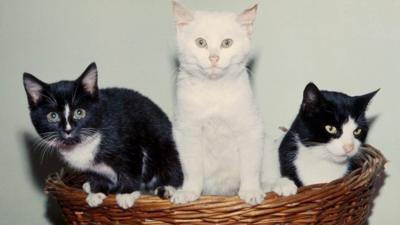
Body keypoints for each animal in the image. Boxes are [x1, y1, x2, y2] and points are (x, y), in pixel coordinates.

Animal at [23, 62, 183, 208]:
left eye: (80, 112)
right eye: (53, 116)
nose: (68, 130)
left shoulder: (129, 141)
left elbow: (131, 168)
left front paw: (126, 193)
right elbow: (96, 174)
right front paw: (97, 191)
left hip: (165, 146)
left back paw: (168, 188)